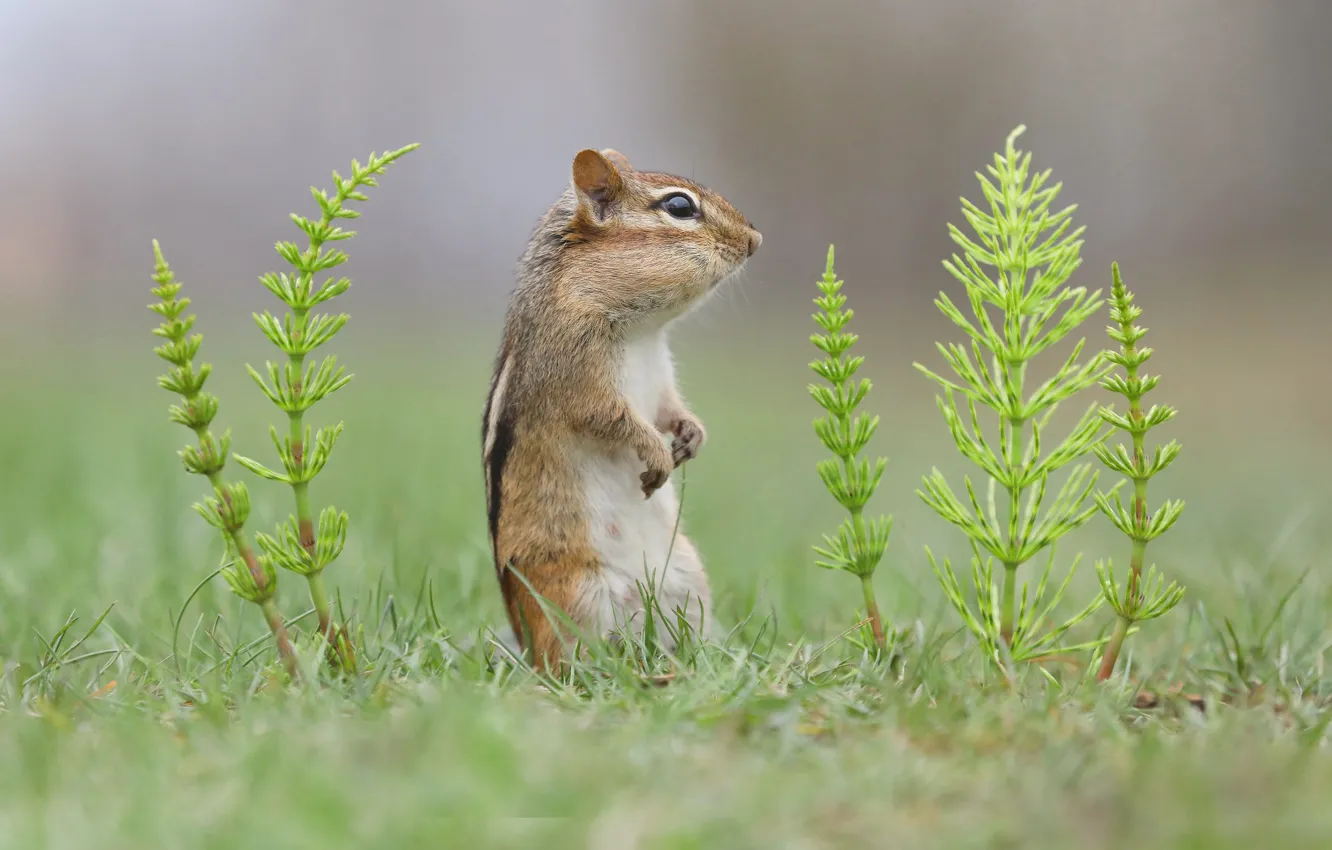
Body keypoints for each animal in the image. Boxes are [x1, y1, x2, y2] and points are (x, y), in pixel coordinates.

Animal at [482, 148, 762, 672]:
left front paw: (692, 436)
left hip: (688, 581)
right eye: (679, 207)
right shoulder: (577, 375)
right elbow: (612, 419)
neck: (641, 330)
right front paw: (656, 453)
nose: (755, 240)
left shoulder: (663, 375)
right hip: (578, 594)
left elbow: (671, 408)